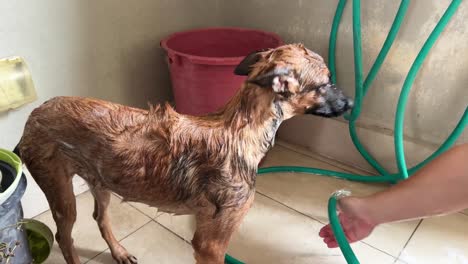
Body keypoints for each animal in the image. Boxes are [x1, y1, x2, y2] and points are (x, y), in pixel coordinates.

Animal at [15, 43, 352, 264]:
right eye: (326, 82)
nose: (350, 104)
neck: (241, 127)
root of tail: (33, 115)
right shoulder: (210, 244)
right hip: (61, 194)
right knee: (65, 236)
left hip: (102, 182)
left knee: (100, 218)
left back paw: (119, 252)